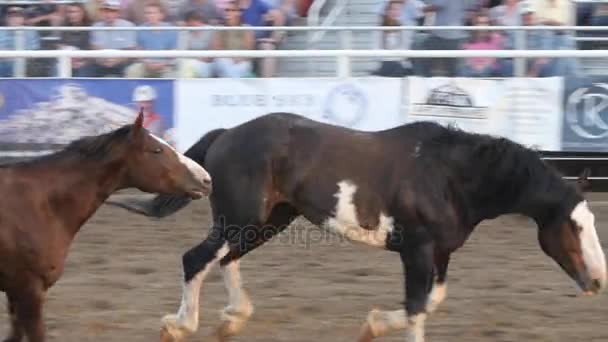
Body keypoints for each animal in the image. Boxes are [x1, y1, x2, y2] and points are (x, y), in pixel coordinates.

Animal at [111, 113, 604, 342]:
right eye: (573, 226)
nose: (598, 280)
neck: (449, 175)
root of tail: (228, 133)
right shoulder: (417, 250)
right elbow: (418, 306)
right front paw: (378, 324)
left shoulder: (440, 252)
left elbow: (430, 300)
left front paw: (373, 324)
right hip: (241, 219)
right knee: (195, 259)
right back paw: (179, 326)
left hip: (268, 220)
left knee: (225, 260)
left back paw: (233, 319)